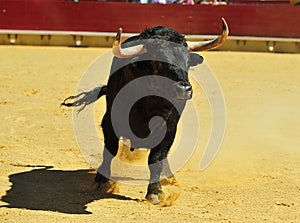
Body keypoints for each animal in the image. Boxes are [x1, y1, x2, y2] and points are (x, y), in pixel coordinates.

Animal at [62, 20, 229, 205]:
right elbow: (110, 150)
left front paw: (155, 191)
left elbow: (156, 158)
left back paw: (169, 177)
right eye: (157, 62)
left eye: (187, 61)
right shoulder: (110, 121)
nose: (184, 89)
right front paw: (100, 181)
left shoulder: (169, 127)